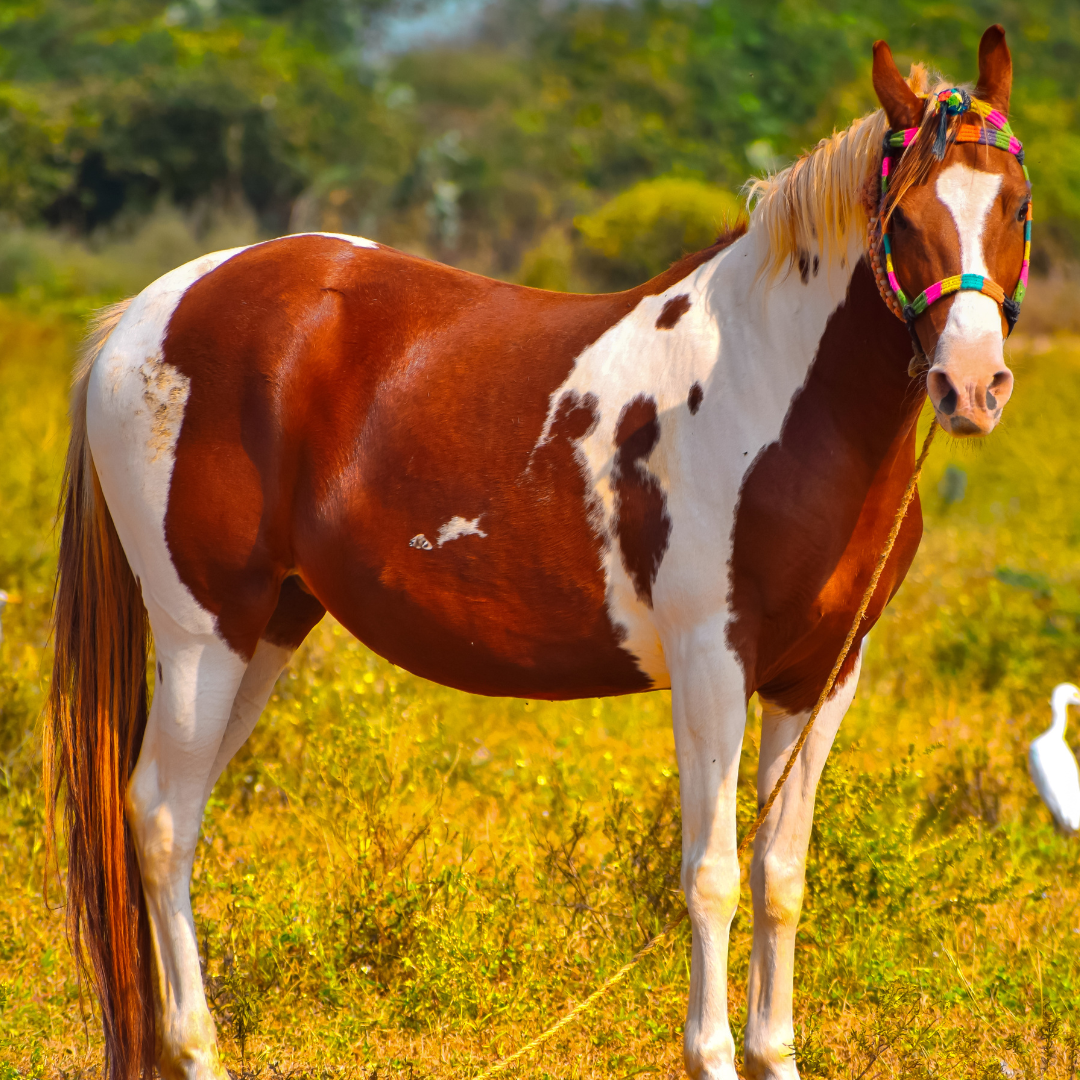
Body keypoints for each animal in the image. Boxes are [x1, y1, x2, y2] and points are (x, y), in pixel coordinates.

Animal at [45, 24, 1030, 1080]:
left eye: (1016, 204)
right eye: (905, 215)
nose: (972, 386)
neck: (777, 392)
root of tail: (146, 313)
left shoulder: (822, 676)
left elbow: (781, 873)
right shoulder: (711, 660)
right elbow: (712, 874)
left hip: (268, 627)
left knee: (172, 813)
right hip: (203, 629)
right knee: (158, 818)